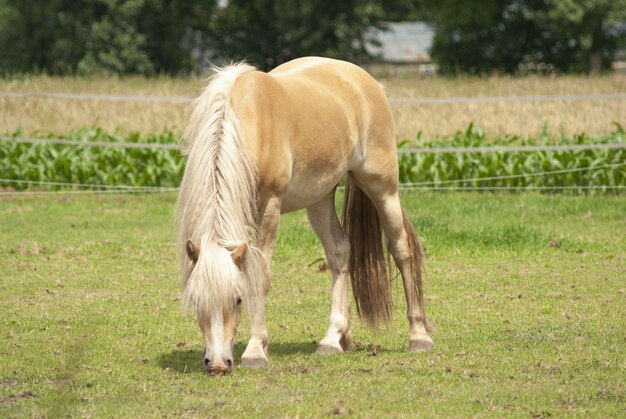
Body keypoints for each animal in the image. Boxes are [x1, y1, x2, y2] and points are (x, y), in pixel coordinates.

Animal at [174, 56, 428, 378]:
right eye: (196, 301)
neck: (244, 123)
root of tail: (366, 81)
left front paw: (255, 350)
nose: (218, 365)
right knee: (339, 252)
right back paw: (335, 339)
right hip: (319, 198)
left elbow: (261, 276)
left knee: (401, 249)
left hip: (383, 187)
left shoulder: (270, 208)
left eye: (238, 299)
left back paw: (419, 336)